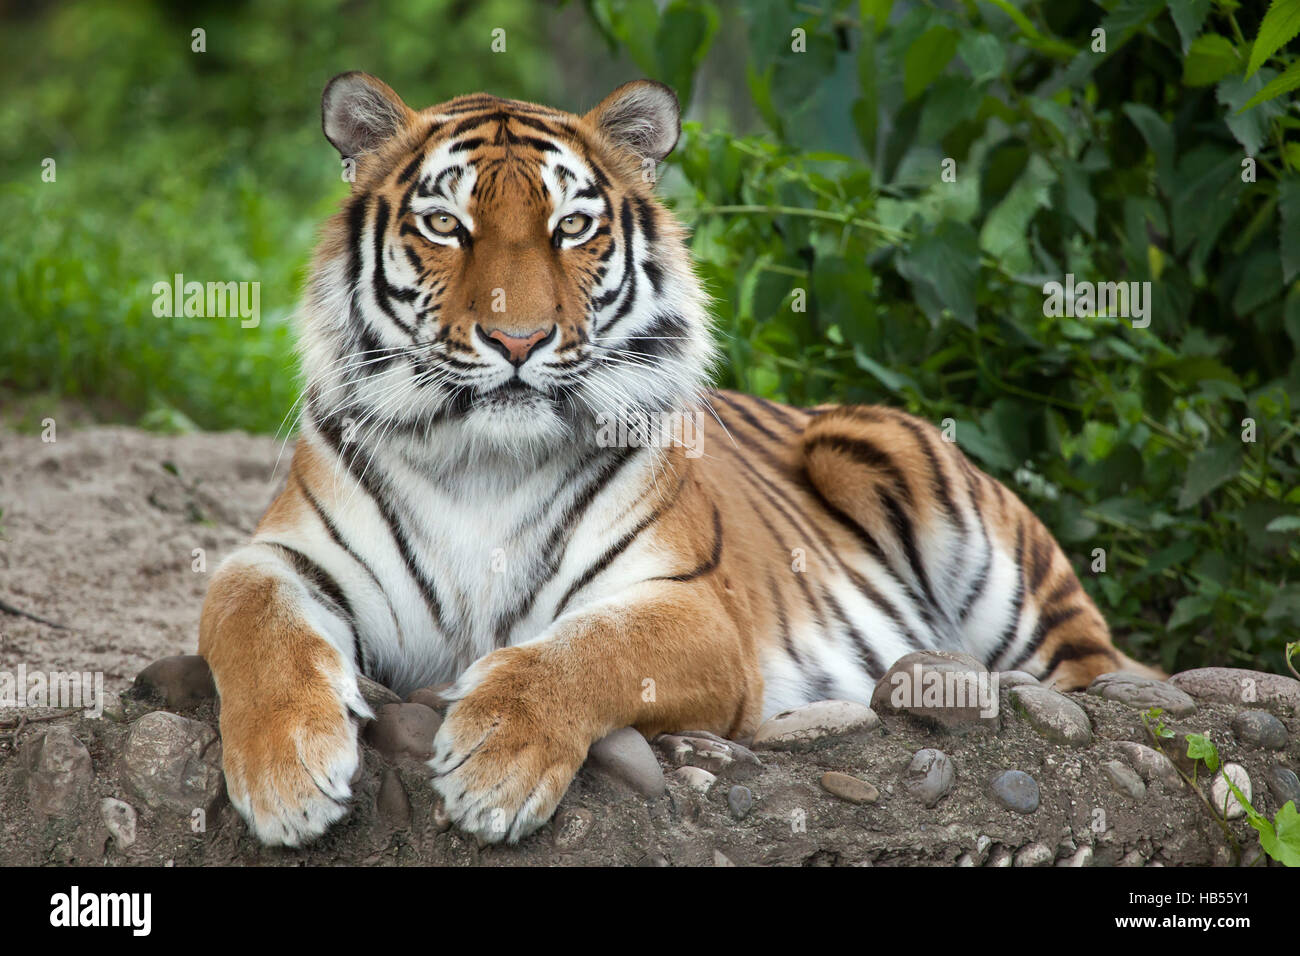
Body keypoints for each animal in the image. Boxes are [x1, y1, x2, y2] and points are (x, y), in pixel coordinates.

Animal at [198, 71, 1158, 848]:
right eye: (445, 224)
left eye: (571, 227)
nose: (518, 340)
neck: (483, 465)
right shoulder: (282, 557)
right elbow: (253, 620)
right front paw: (288, 776)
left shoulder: (694, 609)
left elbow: (585, 651)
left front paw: (494, 762)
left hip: (915, 486)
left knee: (1102, 673)